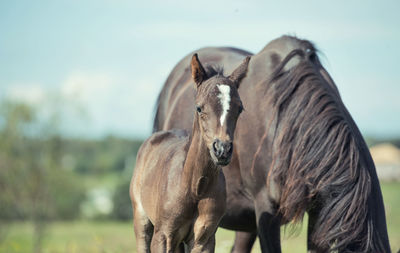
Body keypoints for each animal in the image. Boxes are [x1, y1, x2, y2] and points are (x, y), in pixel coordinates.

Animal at [131, 53, 250, 251]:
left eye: (239, 108)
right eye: (199, 107)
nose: (222, 150)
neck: (194, 187)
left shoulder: (204, 239)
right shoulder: (162, 236)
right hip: (142, 222)